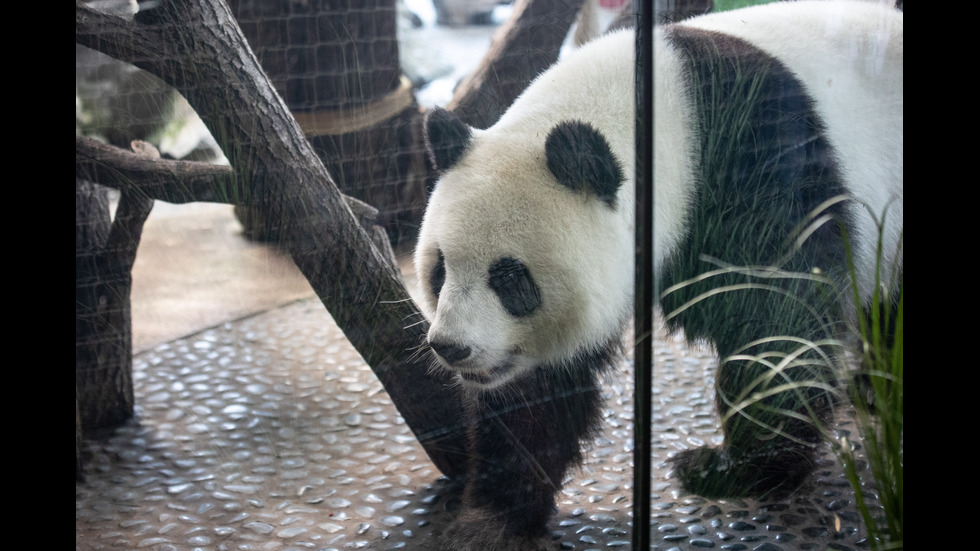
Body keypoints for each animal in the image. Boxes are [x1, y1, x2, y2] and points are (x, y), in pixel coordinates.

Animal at [414, 2, 904, 548]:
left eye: (510, 280)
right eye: (440, 270)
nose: (451, 347)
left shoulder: (759, 162)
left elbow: (778, 317)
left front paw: (733, 470)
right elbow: (536, 393)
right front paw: (493, 520)